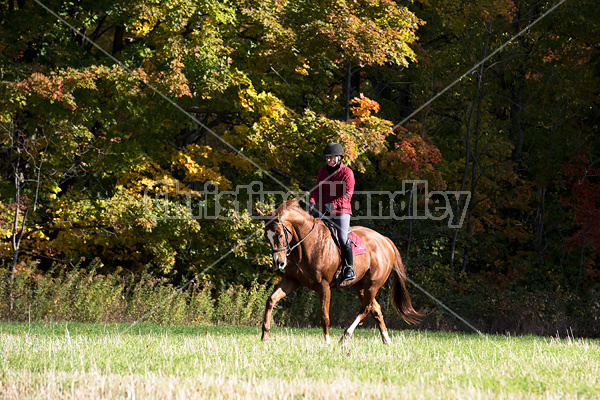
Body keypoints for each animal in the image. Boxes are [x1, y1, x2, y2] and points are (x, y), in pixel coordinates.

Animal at [258, 199, 422, 344]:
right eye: (267, 236)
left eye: (280, 234)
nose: (279, 263)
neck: (306, 246)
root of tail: (385, 240)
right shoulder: (292, 280)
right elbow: (271, 300)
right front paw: (264, 336)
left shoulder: (324, 286)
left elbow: (324, 315)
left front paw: (326, 341)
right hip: (360, 286)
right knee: (375, 309)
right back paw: (386, 340)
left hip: (372, 285)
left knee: (366, 308)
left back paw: (345, 336)